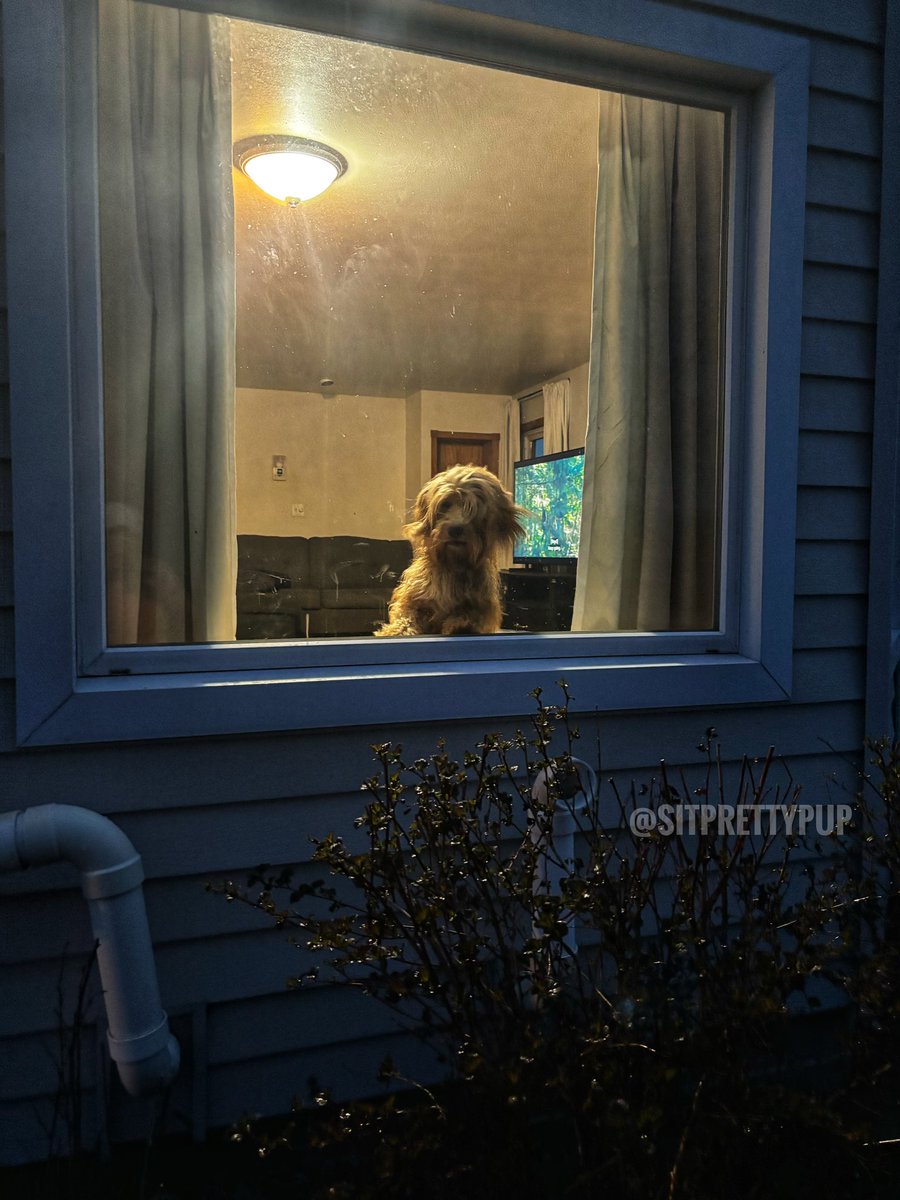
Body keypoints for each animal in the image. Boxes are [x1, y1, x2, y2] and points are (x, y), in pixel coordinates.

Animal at [374, 463, 528, 643]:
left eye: (474, 508)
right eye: (445, 504)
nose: (455, 529)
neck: (452, 564)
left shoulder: (482, 606)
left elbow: (469, 615)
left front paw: (462, 625)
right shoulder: (413, 598)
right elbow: (406, 616)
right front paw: (395, 631)